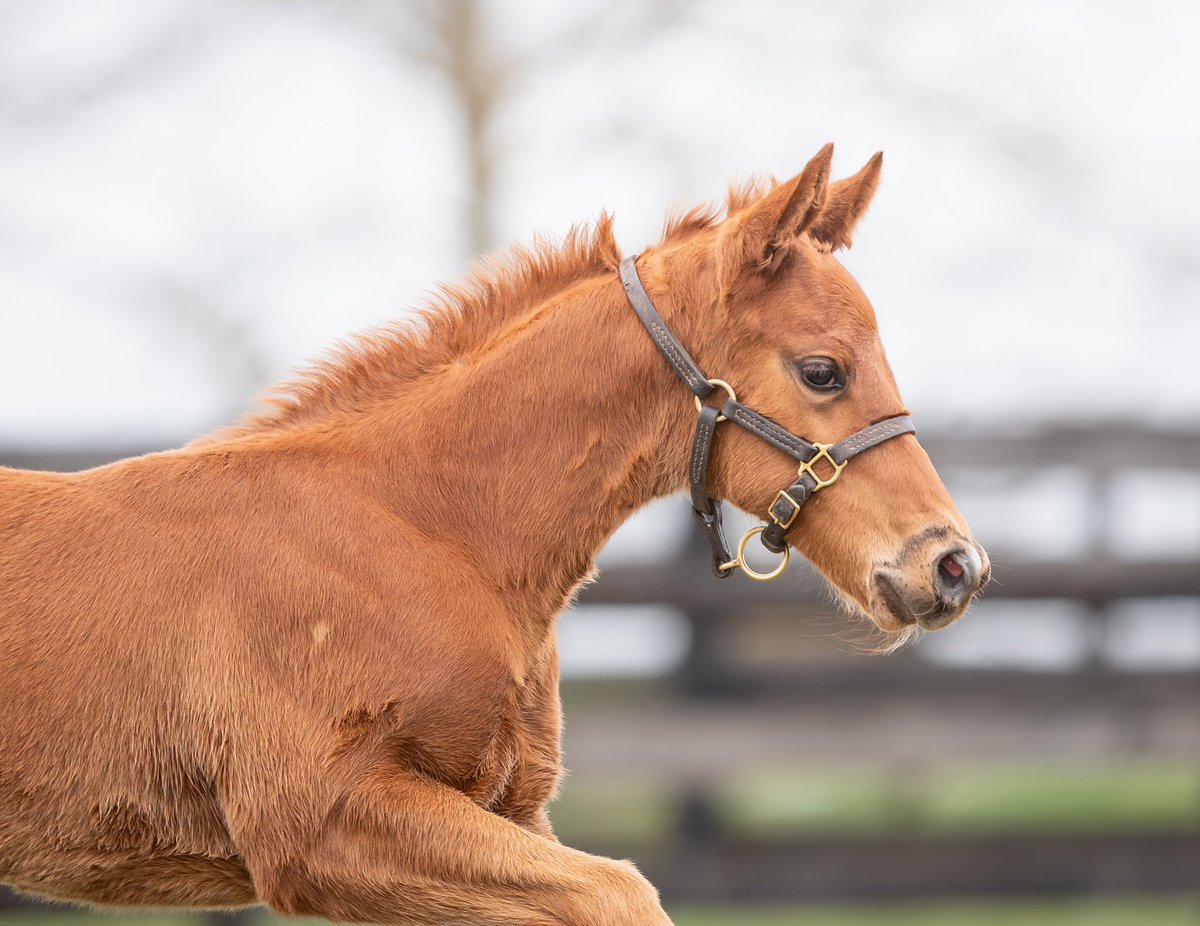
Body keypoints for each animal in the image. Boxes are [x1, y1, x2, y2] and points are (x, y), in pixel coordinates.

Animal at [0, 144, 989, 925]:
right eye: (822, 370)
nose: (953, 566)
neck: (427, 531)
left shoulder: (510, 814)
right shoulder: (319, 824)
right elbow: (620, 892)